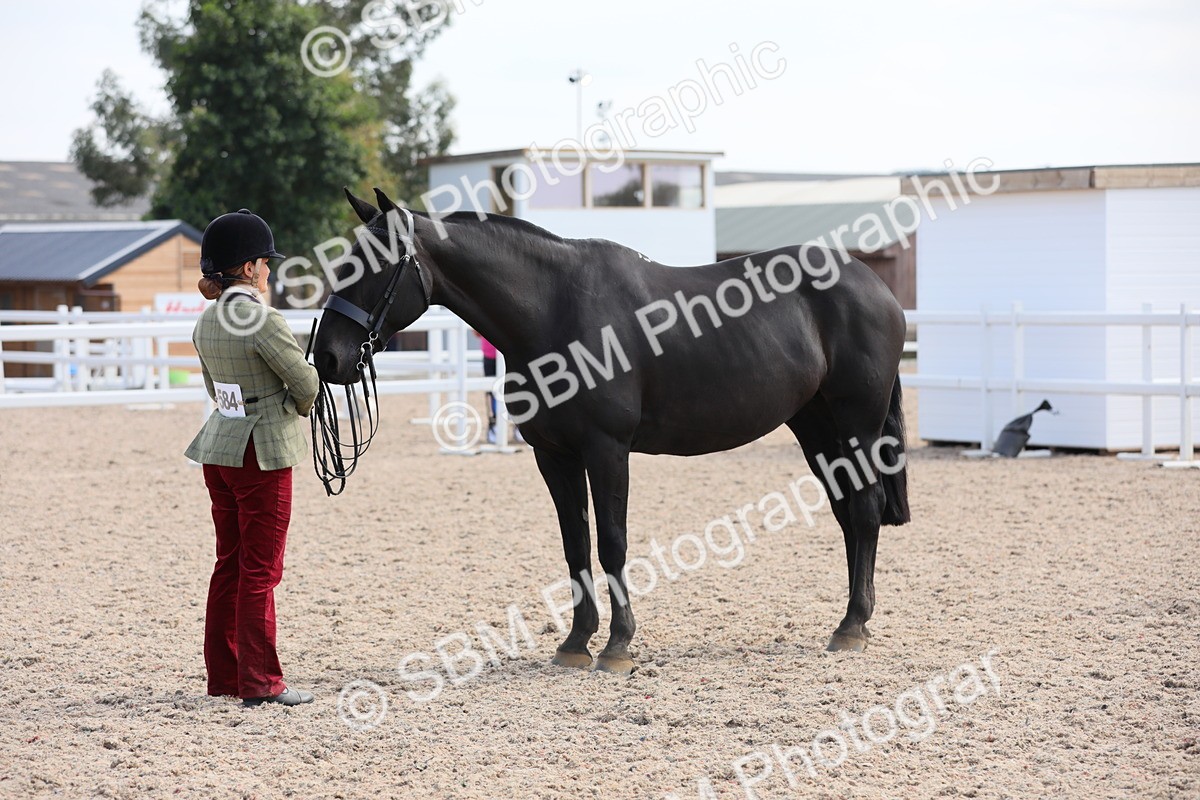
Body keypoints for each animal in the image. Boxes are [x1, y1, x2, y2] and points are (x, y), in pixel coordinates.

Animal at [313, 187, 910, 674]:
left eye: (372, 268)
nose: (327, 357)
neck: (554, 311)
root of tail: (875, 286)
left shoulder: (607, 450)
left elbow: (612, 544)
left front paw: (618, 645)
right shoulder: (553, 455)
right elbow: (575, 544)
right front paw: (576, 642)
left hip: (856, 422)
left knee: (864, 508)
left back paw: (852, 626)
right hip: (816, 427)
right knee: (848, 513)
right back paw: (853, 620)